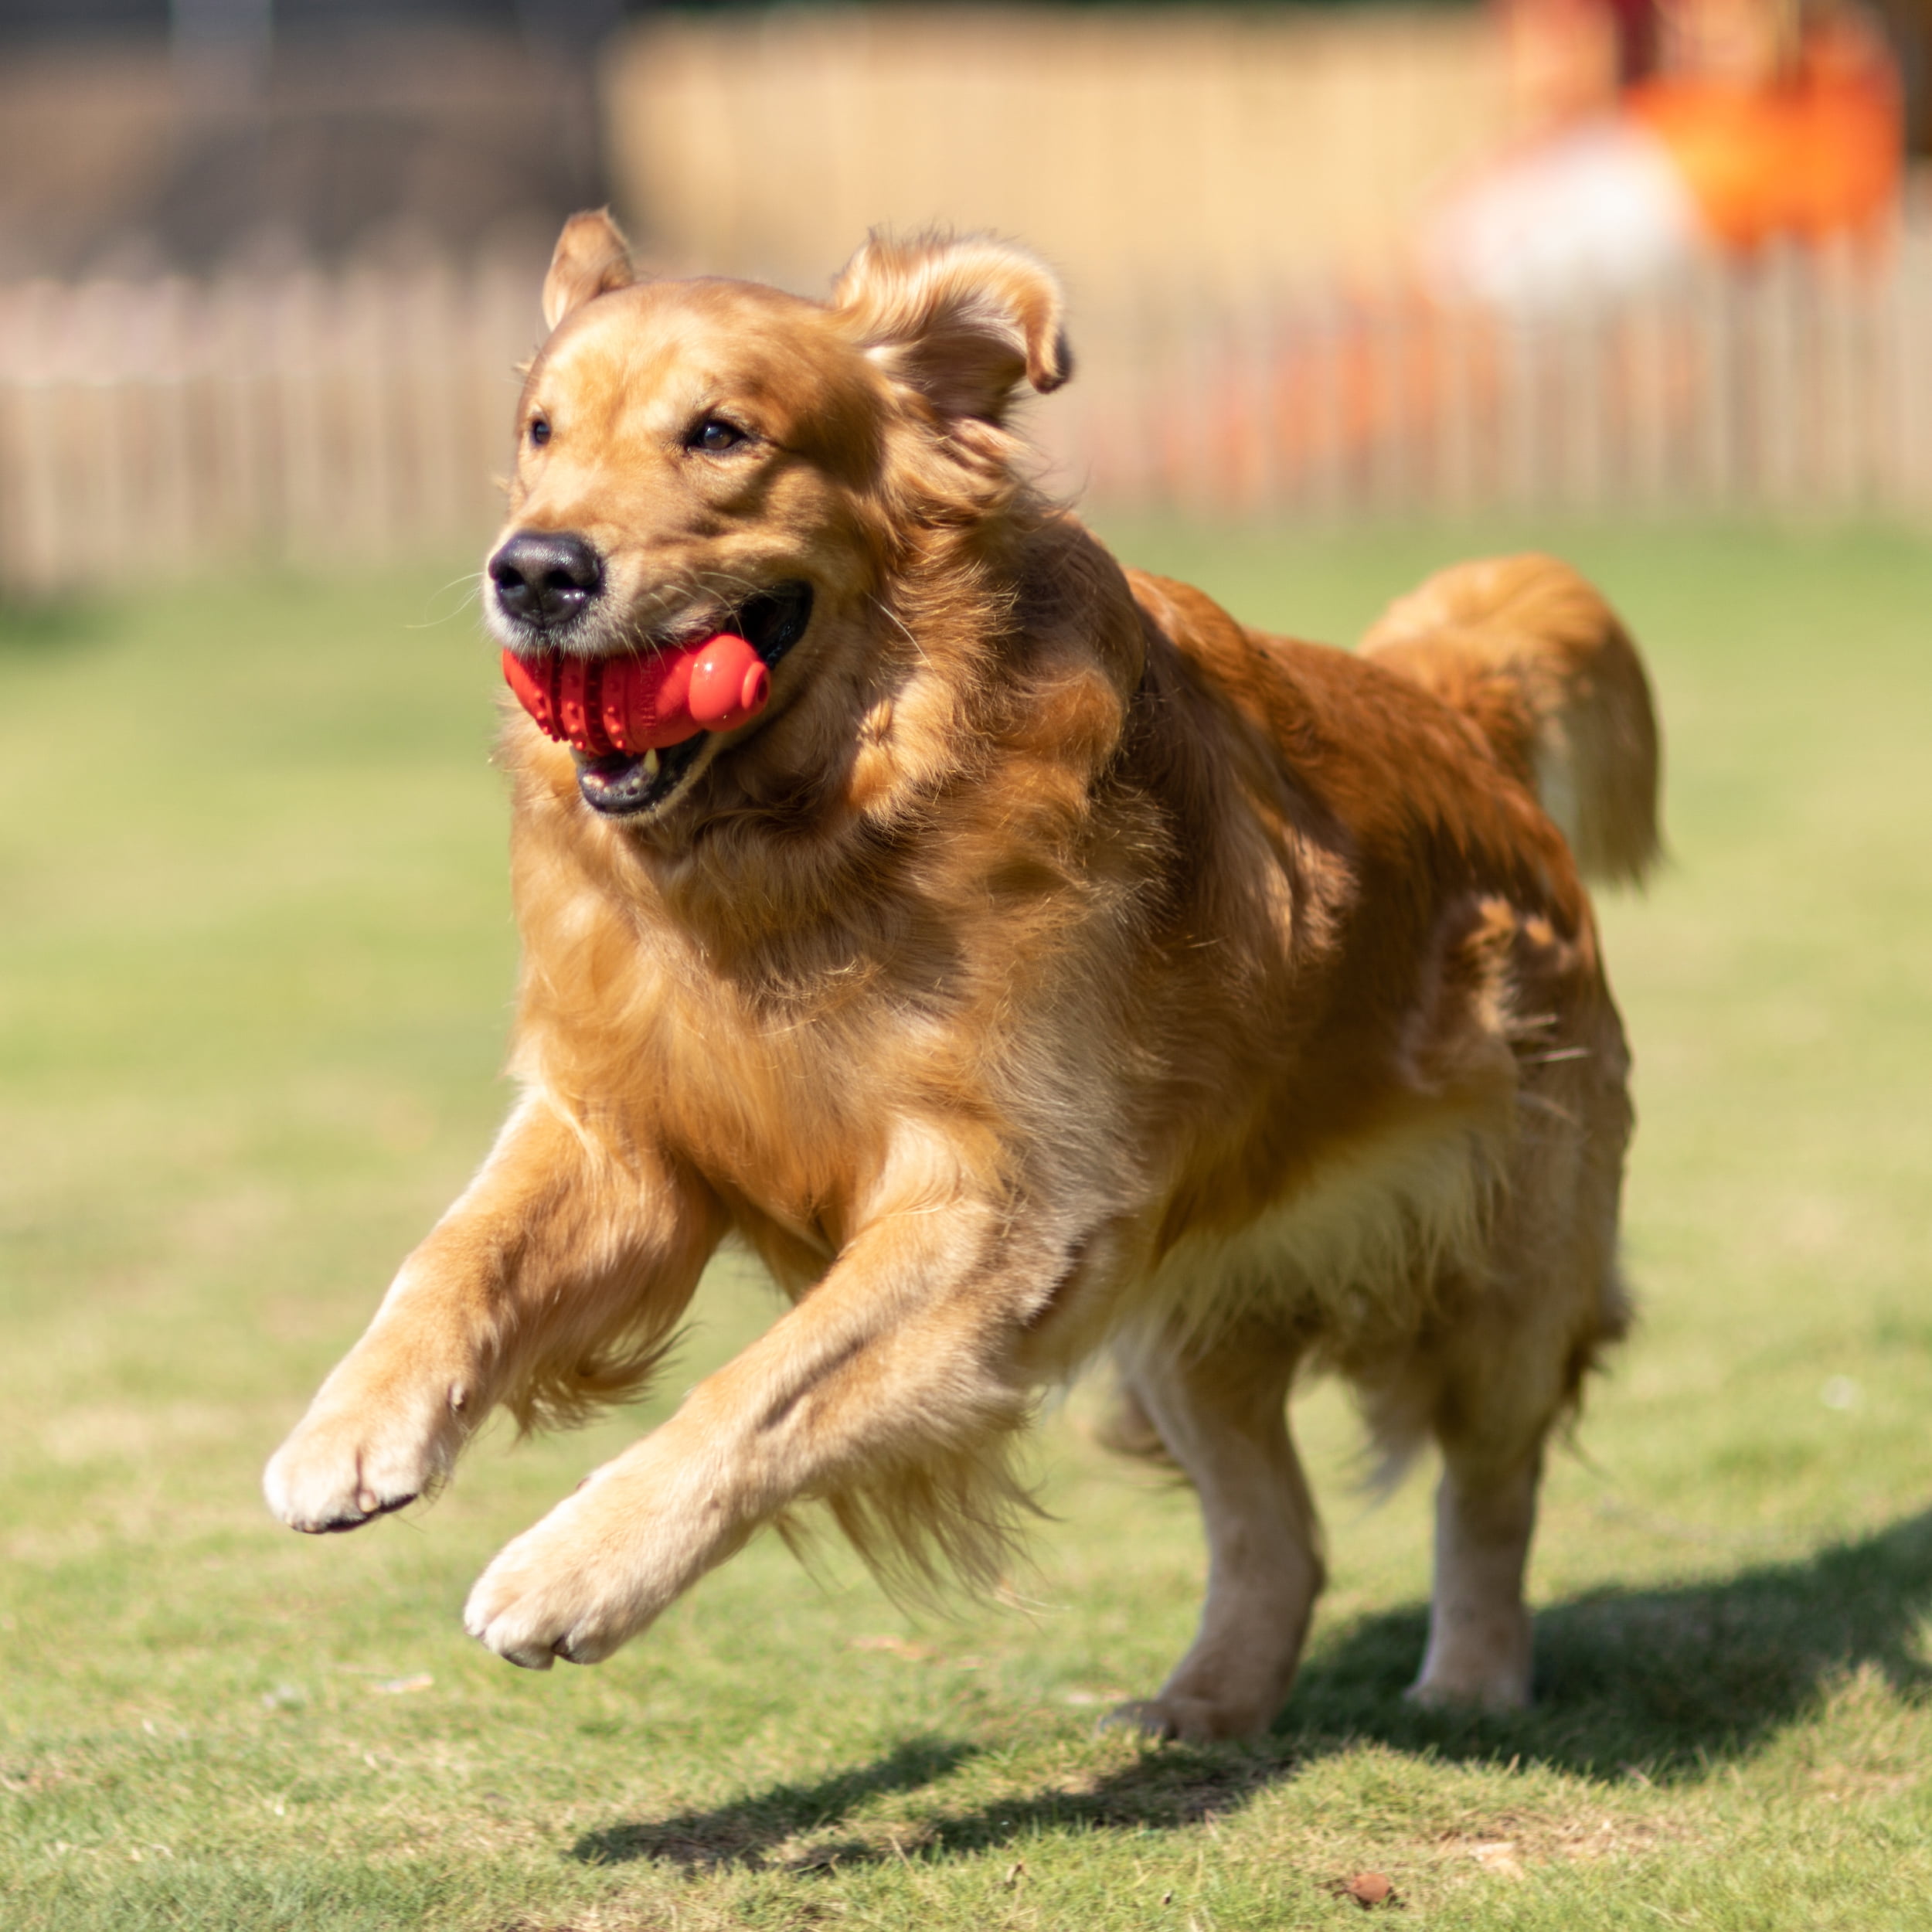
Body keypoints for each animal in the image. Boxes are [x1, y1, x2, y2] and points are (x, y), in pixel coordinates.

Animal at [268, 211, 1662, 1739]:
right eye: (539, 430)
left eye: (719, 433)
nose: (534, 570)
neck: (812, 840)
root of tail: (1445, 709)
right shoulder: (627, 1126)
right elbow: (460, 1252)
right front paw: (350, 1425)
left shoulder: (1001, 1211)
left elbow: (761, 1393)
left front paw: (574, 1568)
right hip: (1180, 1310)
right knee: (1276, 1532)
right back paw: (1202, 1706)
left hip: (1502, 1273)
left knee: (1491, 1482)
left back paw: (1471, 1680)